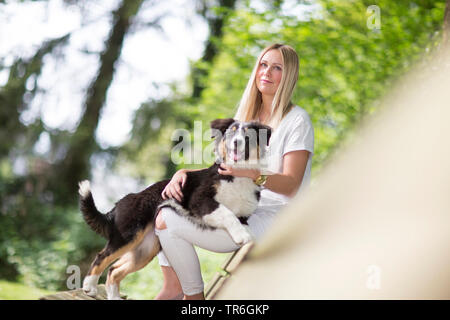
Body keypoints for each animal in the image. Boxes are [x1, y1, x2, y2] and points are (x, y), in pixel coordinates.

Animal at [78, 118, 270, 300]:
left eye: (248, 135)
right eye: (231, 132)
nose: (237, 142)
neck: (237, 174)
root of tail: (119, 204)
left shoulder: (243, 213)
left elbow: (235, 217)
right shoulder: (199, 199)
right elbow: (227, 212)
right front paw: (242, 236)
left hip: (146, 248)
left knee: (115, 270)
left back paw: (114, 296)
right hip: (127, 235)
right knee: (101, 257)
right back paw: (89, 287)